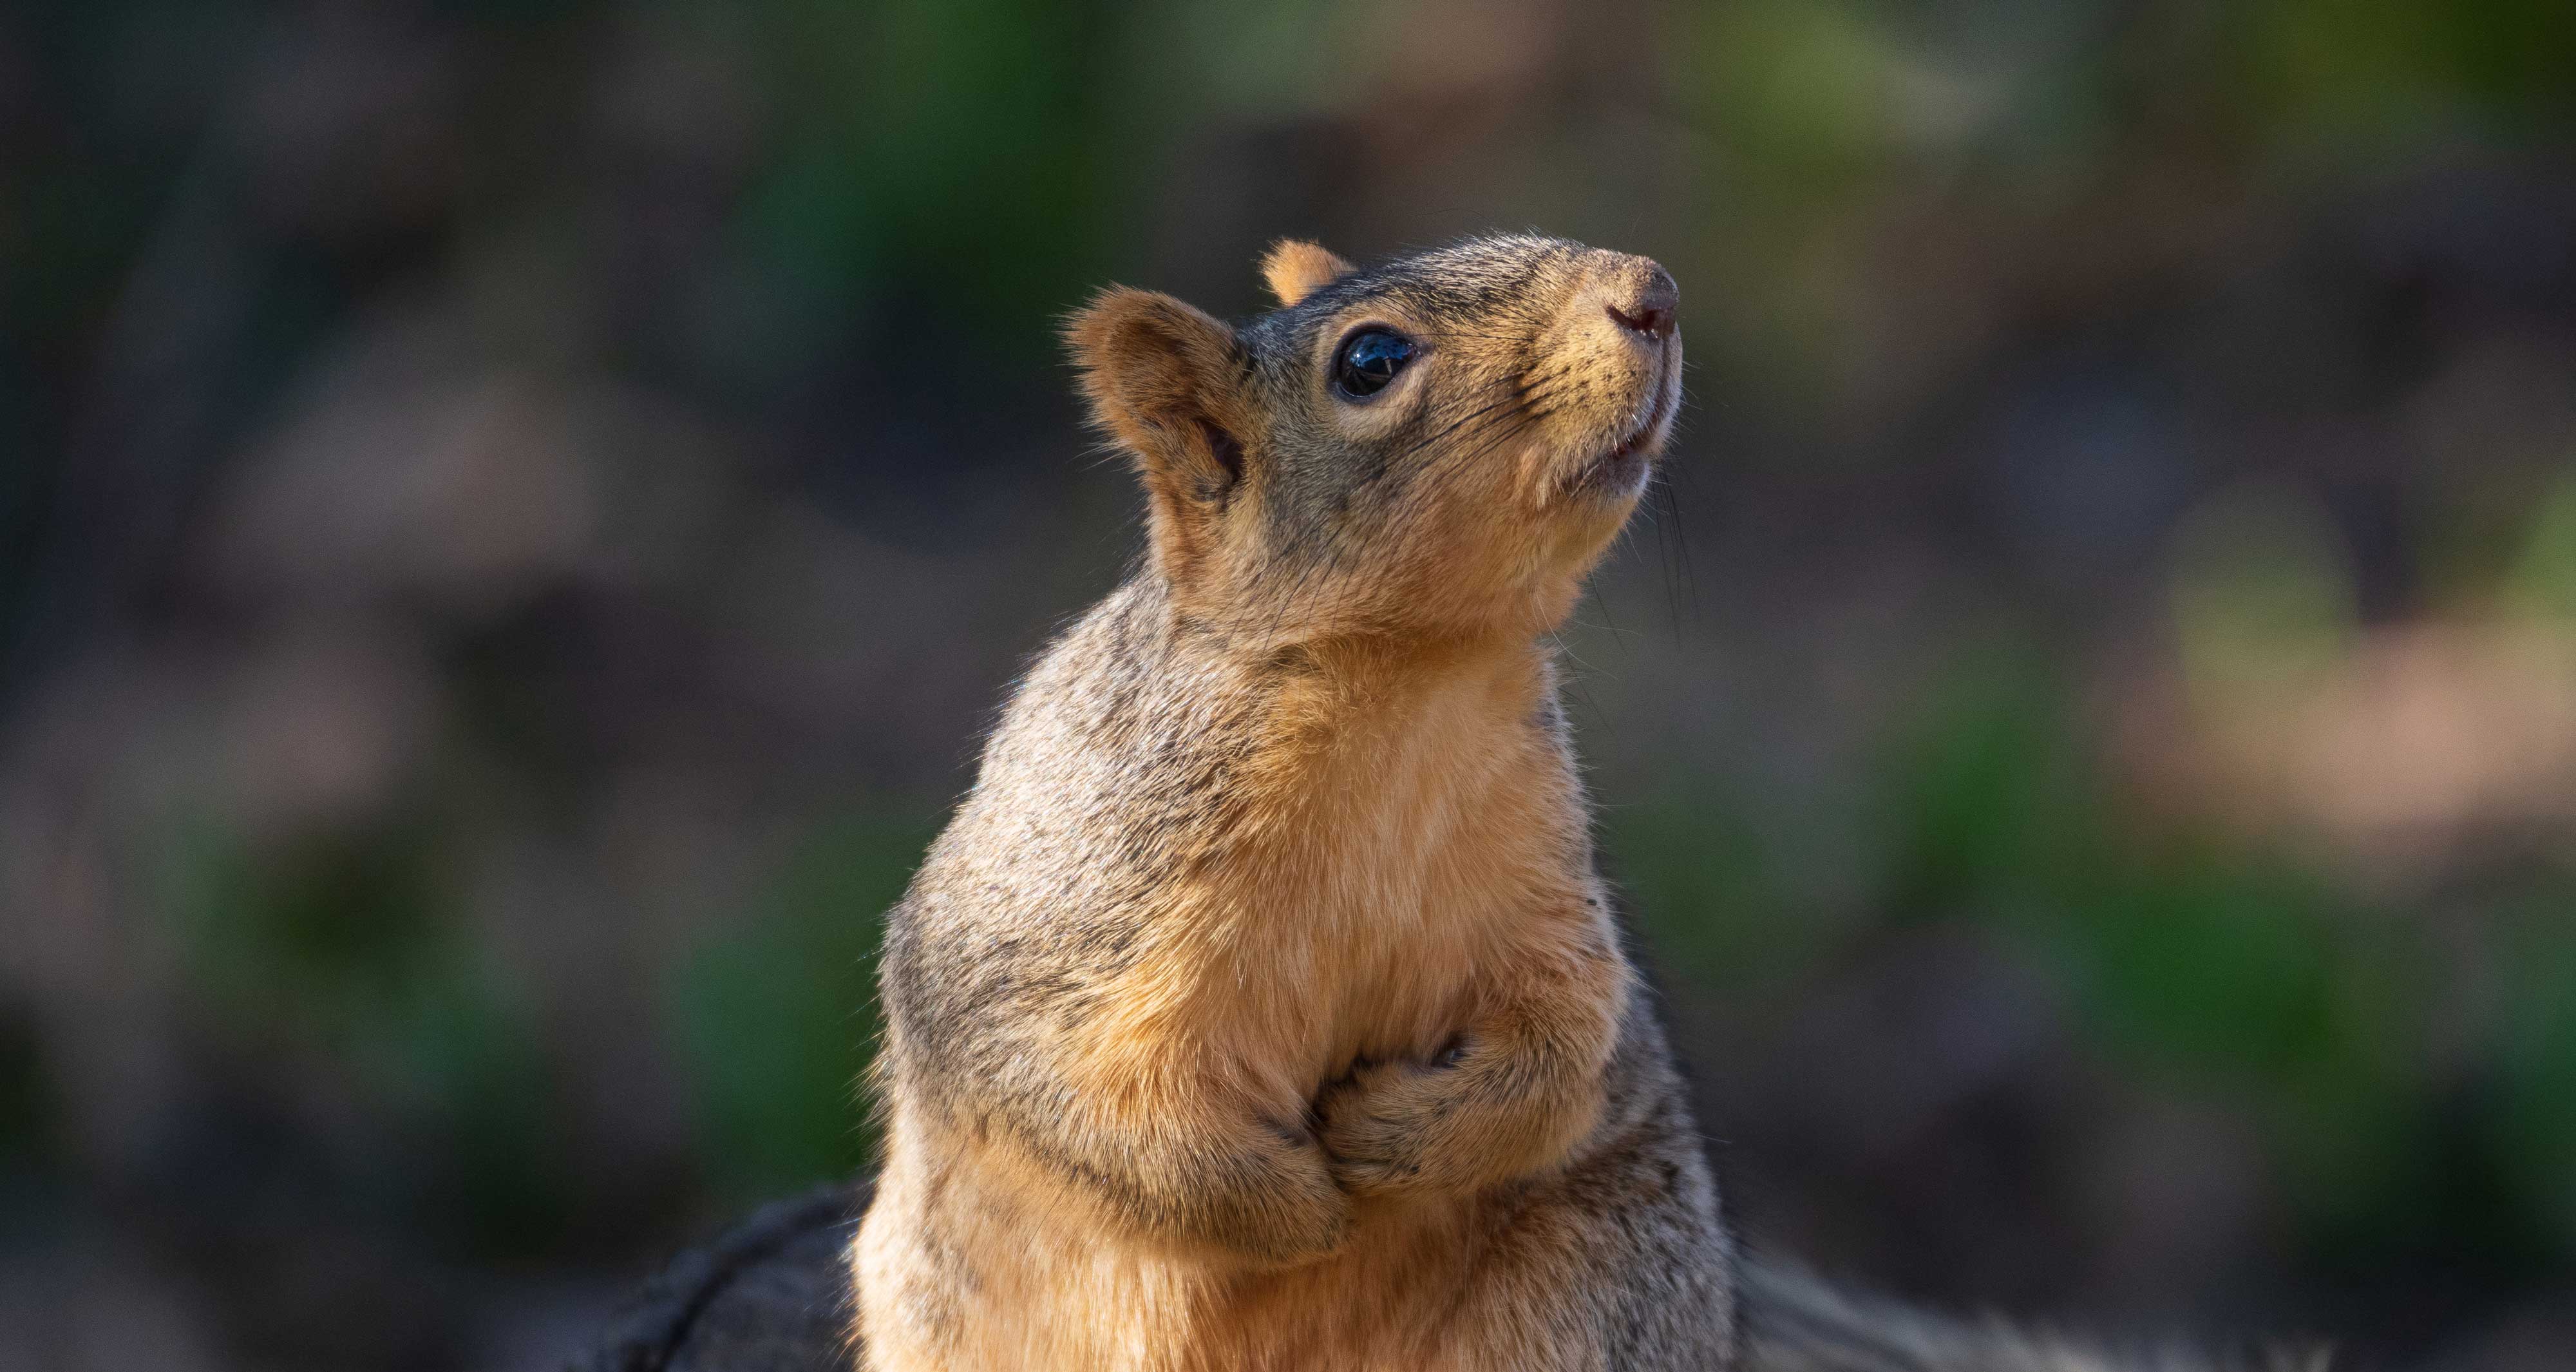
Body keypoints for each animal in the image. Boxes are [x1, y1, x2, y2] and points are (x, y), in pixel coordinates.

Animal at [846, 235, 2294, 1372]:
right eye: (1368, 363)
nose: (1650, 291)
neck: (1409, 689)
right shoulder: (1063, 909)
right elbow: (1048, 1091)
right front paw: (1290, 1207)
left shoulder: (1544, 894)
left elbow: (1567, 1051)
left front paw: (1391, 1142)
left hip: (1592, 1281)